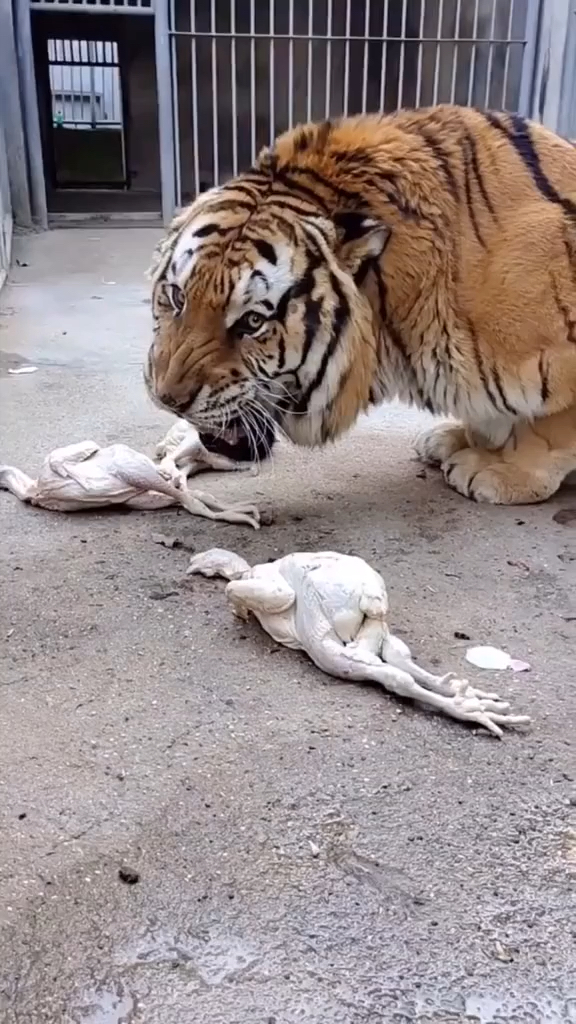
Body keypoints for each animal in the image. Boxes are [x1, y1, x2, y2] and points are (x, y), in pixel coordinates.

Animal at [145, 104, 576, 505]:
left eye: (252, 322)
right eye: (178, 297)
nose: (168, 400)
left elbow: (550, 427)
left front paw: (503, 473)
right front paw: (464, 440)